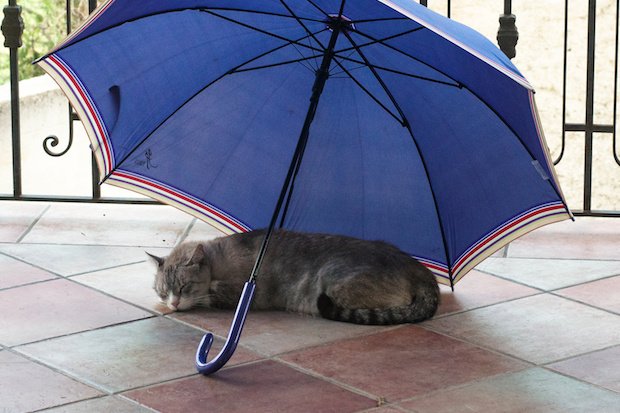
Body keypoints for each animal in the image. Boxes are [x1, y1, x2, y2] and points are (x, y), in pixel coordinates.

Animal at [148, 230, 438, 324]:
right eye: (162, 292)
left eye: (184, 287)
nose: (173, 303)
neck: (216, 259)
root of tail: (418, 269)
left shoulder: (250, 292)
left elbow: (213, 292)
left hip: (334, 281)